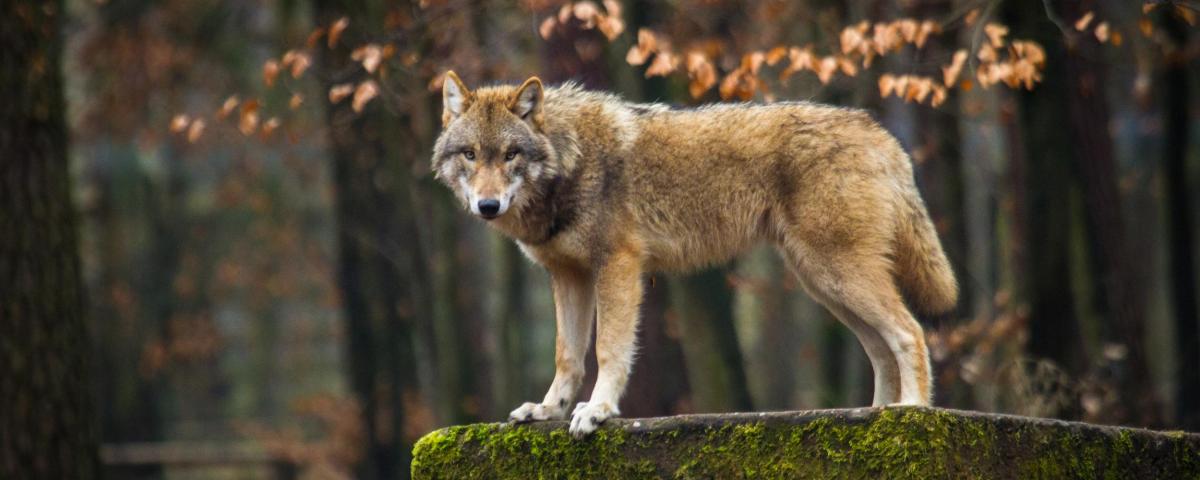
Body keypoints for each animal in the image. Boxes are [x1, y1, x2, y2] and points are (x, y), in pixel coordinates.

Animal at [431, 71, 958, 438]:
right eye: (471, 154)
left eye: (510, 155)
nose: (487, 206)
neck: (570, 159)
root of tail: (880, 133)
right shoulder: (568, 276)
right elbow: (567, 356)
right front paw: (547, 411)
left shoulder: (618, 267)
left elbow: (608, 350)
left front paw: (597, 411)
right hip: (824, 283)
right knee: (880, 348)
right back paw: (874, 415)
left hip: (837, 275)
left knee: (909, 332)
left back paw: (912, 412)